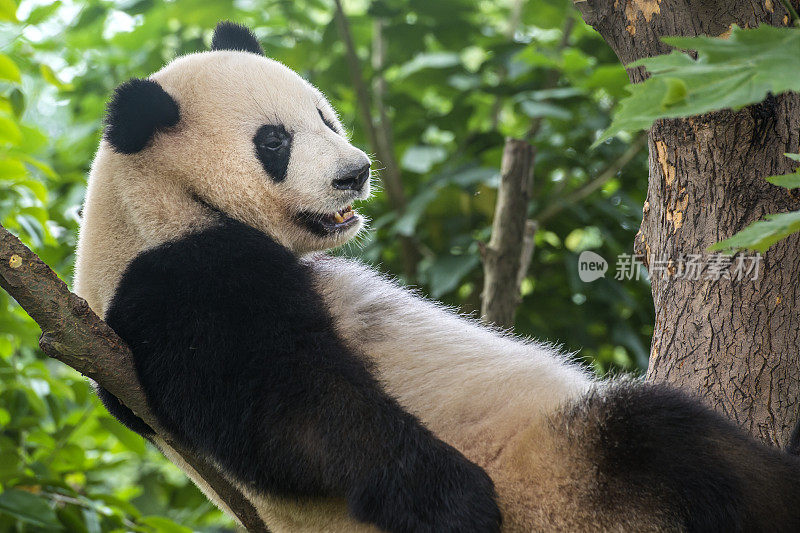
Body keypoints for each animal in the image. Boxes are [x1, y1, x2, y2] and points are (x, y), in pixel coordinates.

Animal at [73, 20, 800, 532]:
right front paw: (455, 501)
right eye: (273, 141)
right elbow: (293, 407)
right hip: (563, 477)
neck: (149, 208)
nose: (354, 172)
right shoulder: (179, 280)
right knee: (671, 441)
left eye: (324, 115)